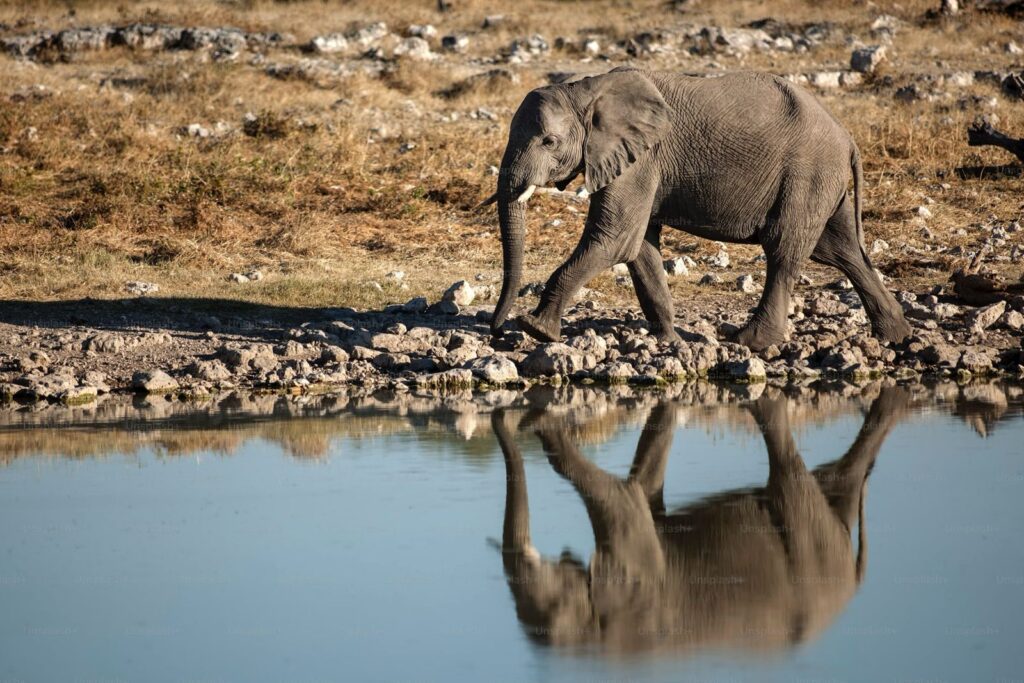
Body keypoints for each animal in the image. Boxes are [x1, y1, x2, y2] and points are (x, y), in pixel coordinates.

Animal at [487, 68, 913, 350]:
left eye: (549, 141)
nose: (496, 330)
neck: (584, 90)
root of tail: (848, 139)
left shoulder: (642, 158)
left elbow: (615, 239)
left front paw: (536, 330)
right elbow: (639, 247)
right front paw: (669, 341)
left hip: (808, 173)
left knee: (784, 251)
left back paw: (749, 342)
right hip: (823, 181)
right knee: (842, 251)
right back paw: (894, 336)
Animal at [491, 387, 909, 655]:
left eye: (554, 606)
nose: (505, 419)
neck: (592, 645)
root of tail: (853, 585)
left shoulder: (633, 559)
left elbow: (618, 493)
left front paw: (534, 422)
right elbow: (643, 488)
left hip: (810, 543)